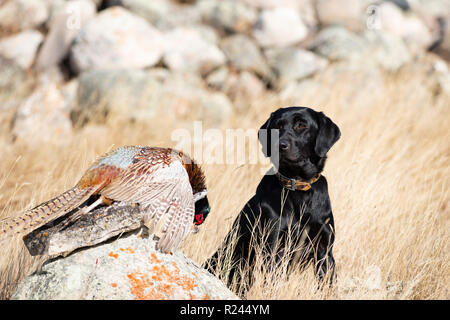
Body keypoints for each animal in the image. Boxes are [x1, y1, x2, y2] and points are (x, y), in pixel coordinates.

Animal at [205, 106, 342, 294]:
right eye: (277, 126)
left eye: (301, 125)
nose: (280, 145)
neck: (297, 187)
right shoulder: (274, 247)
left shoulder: (324, 250)